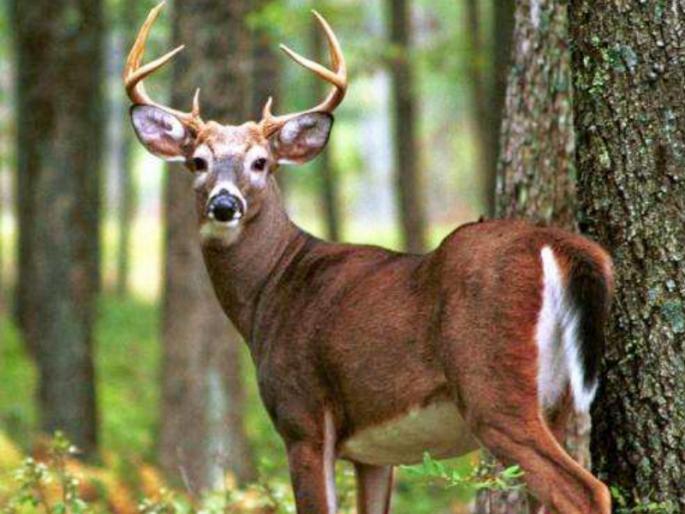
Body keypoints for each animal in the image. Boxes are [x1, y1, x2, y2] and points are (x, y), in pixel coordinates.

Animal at [124, 4, 613, 513]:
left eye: (260, 162)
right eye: (198, 161)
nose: (224, 204)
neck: (271, 290)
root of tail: (559, 245)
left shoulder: (302, 415)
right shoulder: (373, 454)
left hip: (492, 385)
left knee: (586, 489)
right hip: (556, 400)